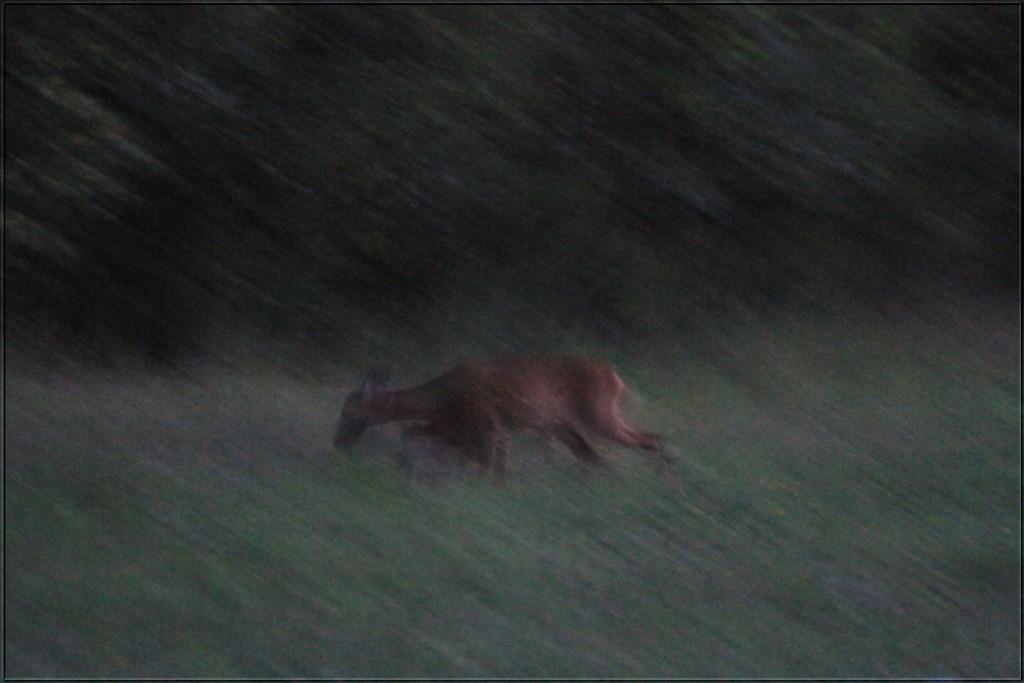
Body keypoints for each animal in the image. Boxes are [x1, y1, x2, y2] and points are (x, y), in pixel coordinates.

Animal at [333, 352, 671, 481]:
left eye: (347, 410)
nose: (338, 441)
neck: (439, 399)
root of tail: (613, 374)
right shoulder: (463, 428)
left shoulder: (485, 424)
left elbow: (486, 469)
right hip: (560, 422)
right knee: (593, 456)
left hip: (598, 412)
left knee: (649, 437)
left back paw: (665, 478)